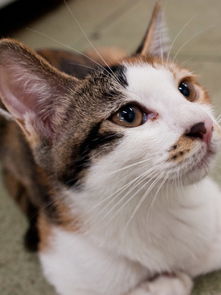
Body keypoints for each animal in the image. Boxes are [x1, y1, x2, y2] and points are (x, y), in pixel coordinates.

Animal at [0, 2, 221, 295]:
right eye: (128, 115)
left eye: (186, 89)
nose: (204, 126)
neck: (158, 203)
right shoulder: (67, 262)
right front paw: (164, 282)